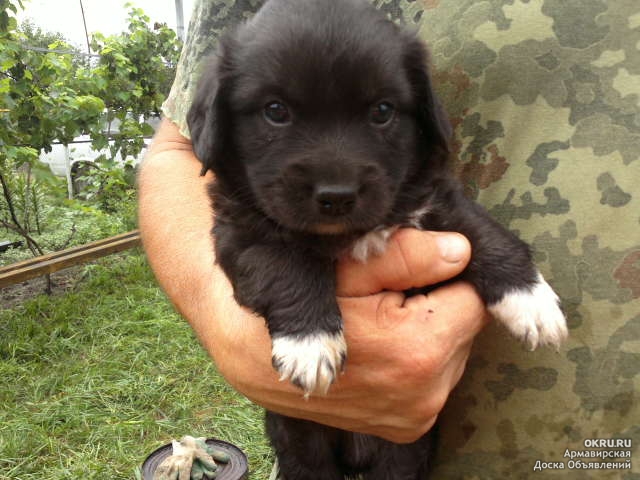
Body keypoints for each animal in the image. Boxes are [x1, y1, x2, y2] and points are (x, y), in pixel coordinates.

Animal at [188, 0, 568, 476]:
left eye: (383, 111)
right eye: (275, 110)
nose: (336, 196)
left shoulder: (434, 201)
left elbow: (483, 230)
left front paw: (530, 299)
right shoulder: (240, 232)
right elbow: (284, 265)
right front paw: (310, 341)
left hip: (405, 446)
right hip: (299, 438)